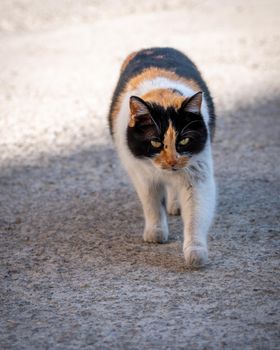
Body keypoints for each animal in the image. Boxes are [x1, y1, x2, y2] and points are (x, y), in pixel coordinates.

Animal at [108, 47, 215, 268]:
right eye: (156, 143)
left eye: (184, 141)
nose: (172, 162)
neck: (162, 95)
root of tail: (152, 48)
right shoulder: (141, 174)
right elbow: (152, 203)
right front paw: (155, 232)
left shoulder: (198, 175)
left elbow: (196, 214)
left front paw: (195, 252)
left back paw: (175, 205)